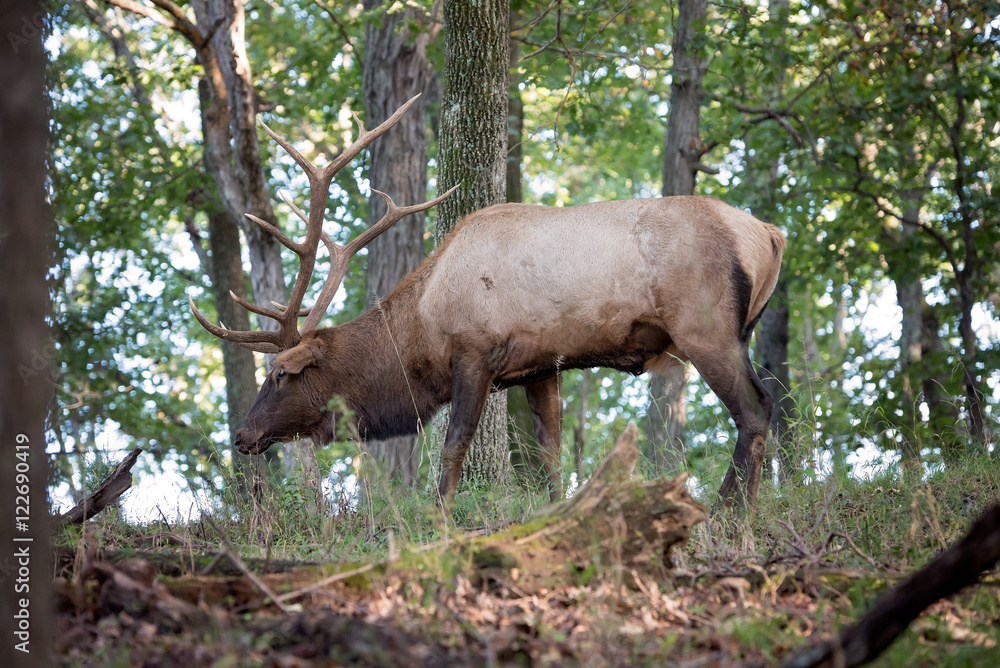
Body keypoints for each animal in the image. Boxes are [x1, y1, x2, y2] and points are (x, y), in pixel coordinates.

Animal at [191, 95, 784, 506]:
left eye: (279, 375)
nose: (242, 434)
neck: (421, 328)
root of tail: (771, 234)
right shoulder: (544, 365)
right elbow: (548, 452)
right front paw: (556, 513)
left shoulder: (474, 352)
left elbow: (454, 444)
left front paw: (441, 518)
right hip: (740, 329)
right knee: (766, 406)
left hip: (703, 327)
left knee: (755, 411)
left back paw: (731, 513)